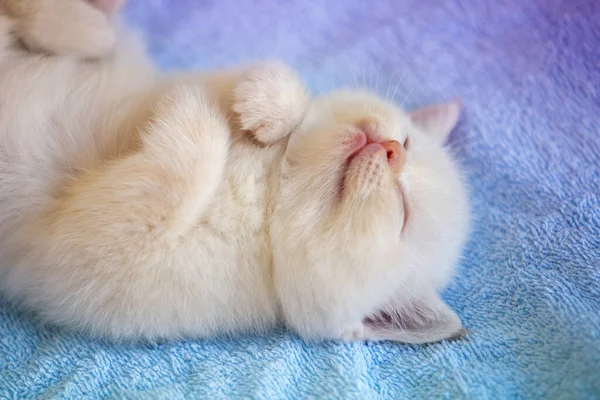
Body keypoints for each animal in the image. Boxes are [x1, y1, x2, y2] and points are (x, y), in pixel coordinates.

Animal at [0, 0, 468, 344]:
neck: (269, 192)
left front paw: (190, 111)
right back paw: (85, 24)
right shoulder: (204, 78)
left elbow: (193, 157)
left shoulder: (106, 254)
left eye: (404, 214)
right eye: (407, 141)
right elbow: (275, 81)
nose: (391, 150)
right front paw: (268, 104)